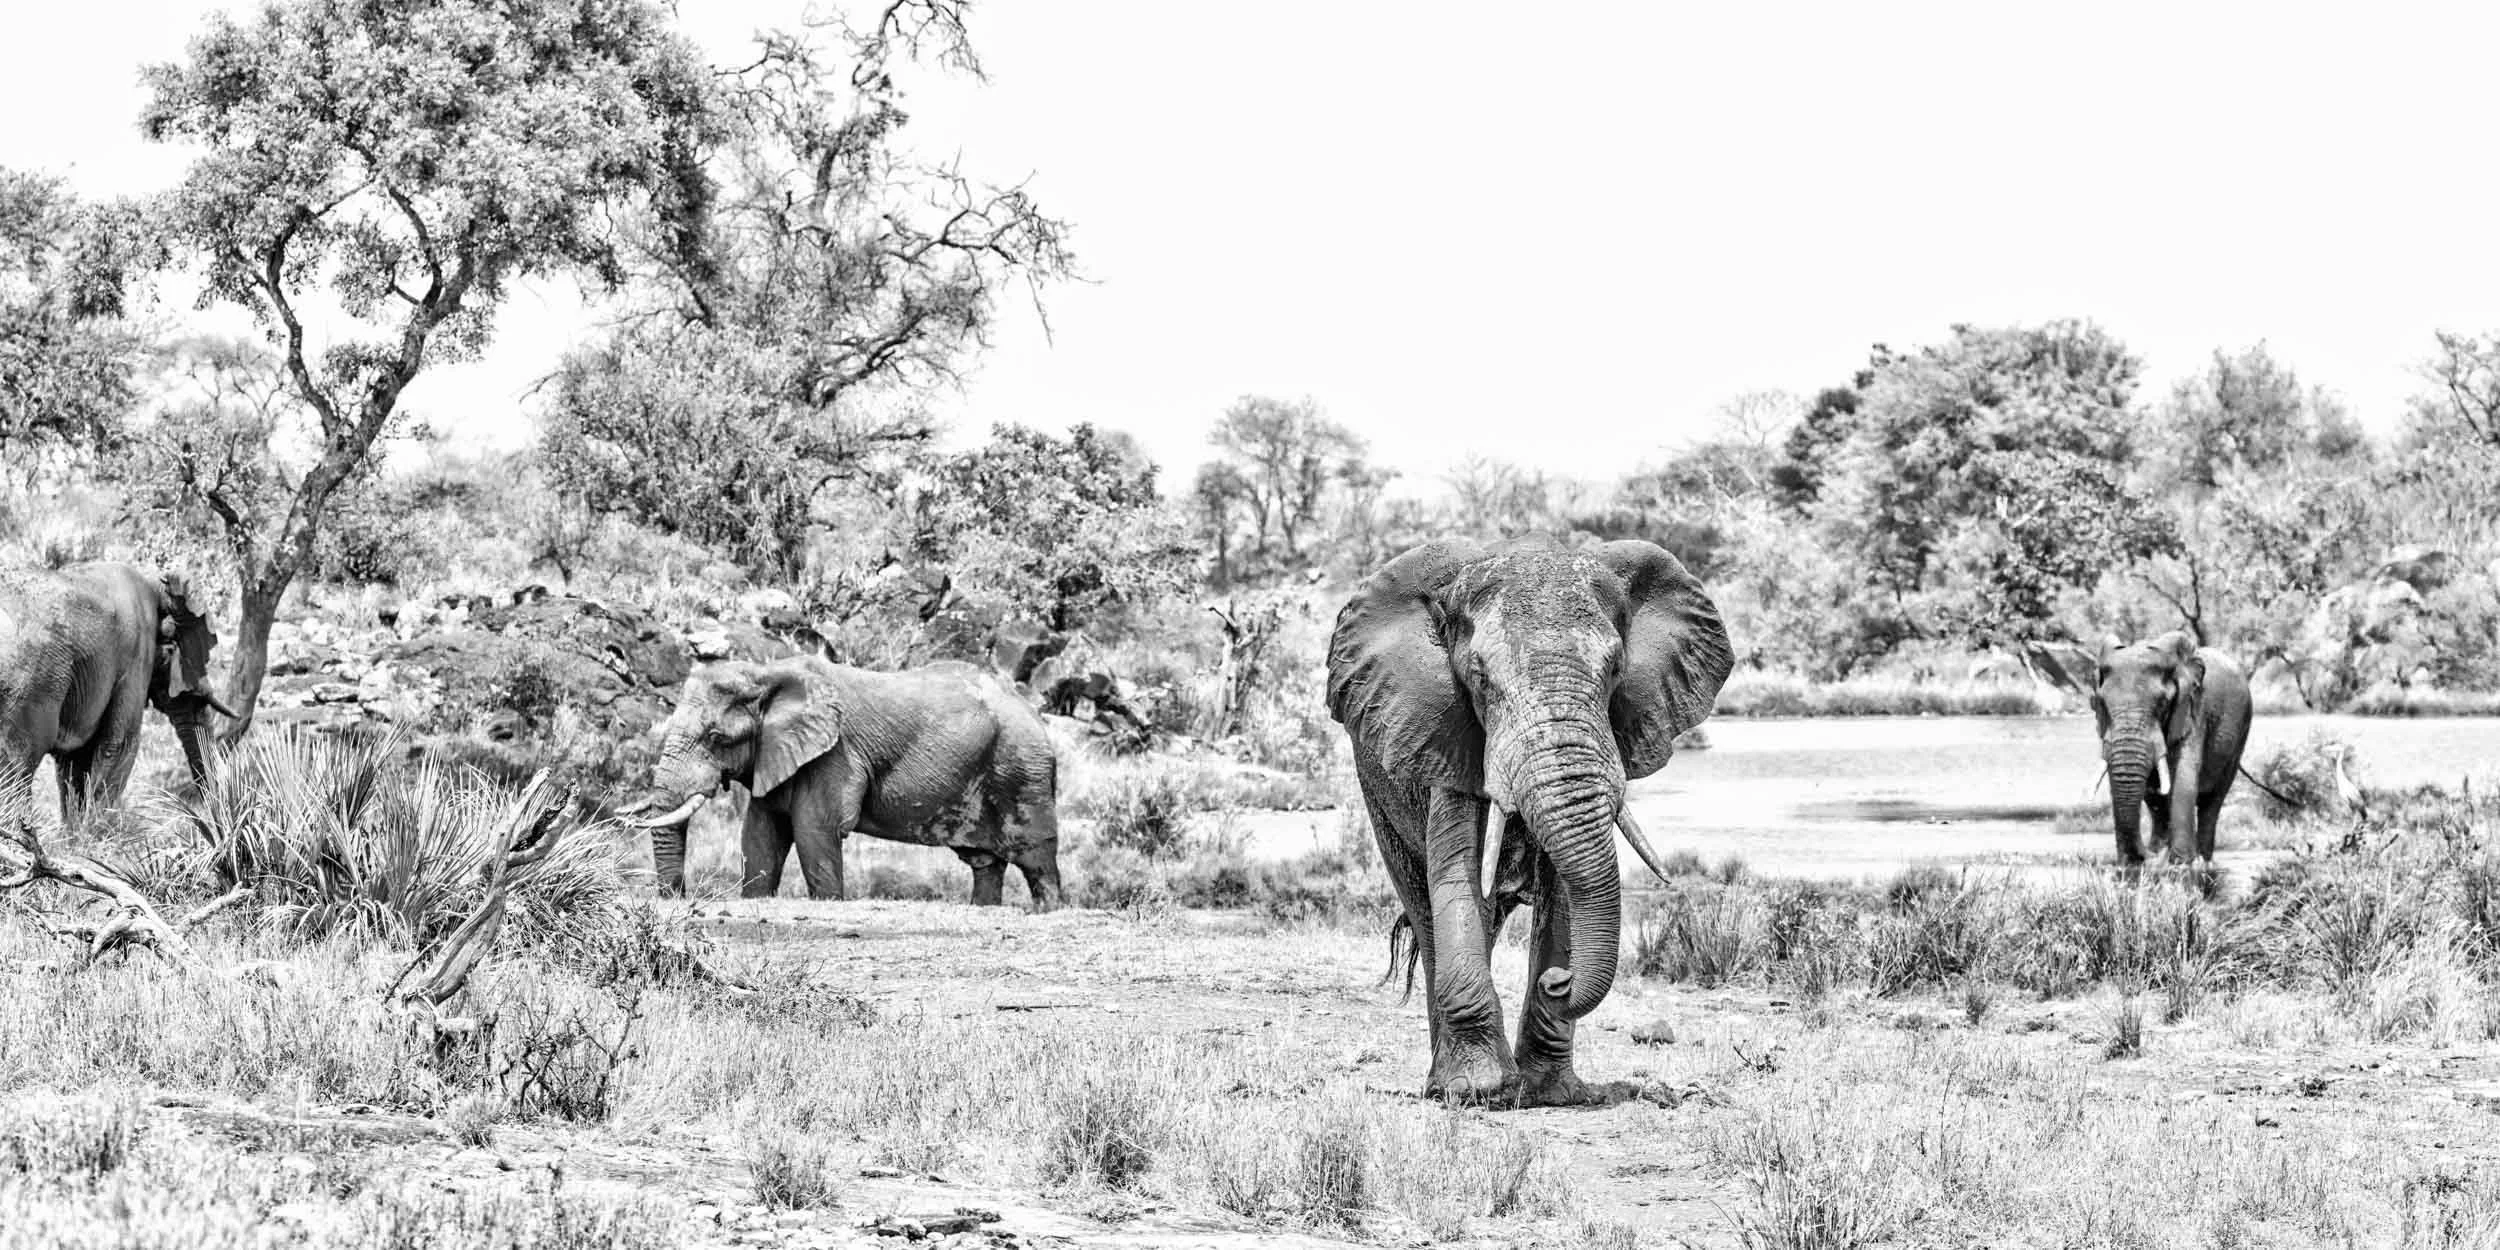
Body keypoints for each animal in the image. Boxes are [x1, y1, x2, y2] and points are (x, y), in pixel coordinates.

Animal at [0, 563, 229, 824]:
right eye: (172, 651)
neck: (157, 585)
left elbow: (74, 760)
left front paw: (79, 831)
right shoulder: (136, 656)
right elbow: (122, 743)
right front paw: (94, 830)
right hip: (30, 682)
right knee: (18, 765)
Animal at [623, 655, 1063, 907]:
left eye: (715, 738)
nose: (676, 897)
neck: (765, 674)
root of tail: (1033, 710)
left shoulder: (835, 754)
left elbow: (815, 829)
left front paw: (828, 902)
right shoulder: (777, 754)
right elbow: (762, 834)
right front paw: (756, 897)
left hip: (1022, 769)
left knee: (1036, 858)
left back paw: (1048, 908)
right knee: (984, 862)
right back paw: (983, 908)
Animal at [1326, 536, 1733, 1105]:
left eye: (1615, 669)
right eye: (1479, 676)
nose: (1560, 980)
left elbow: (1564, 893)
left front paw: (1550, 1093)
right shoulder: (1449, 737)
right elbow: (1457, 873)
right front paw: (1480, 1090)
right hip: (1378, 789)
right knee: (1426, 909)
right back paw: (1443, 1084)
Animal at [2043, 632, 2253, 867]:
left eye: (2162, 703)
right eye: (2101, 703)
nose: (2148, 857)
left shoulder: (2193, 711)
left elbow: (2183, 777)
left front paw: (2181, 864)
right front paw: (2135, 864)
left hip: (2242, 729)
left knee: (2213, 801)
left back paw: (2202, 861)